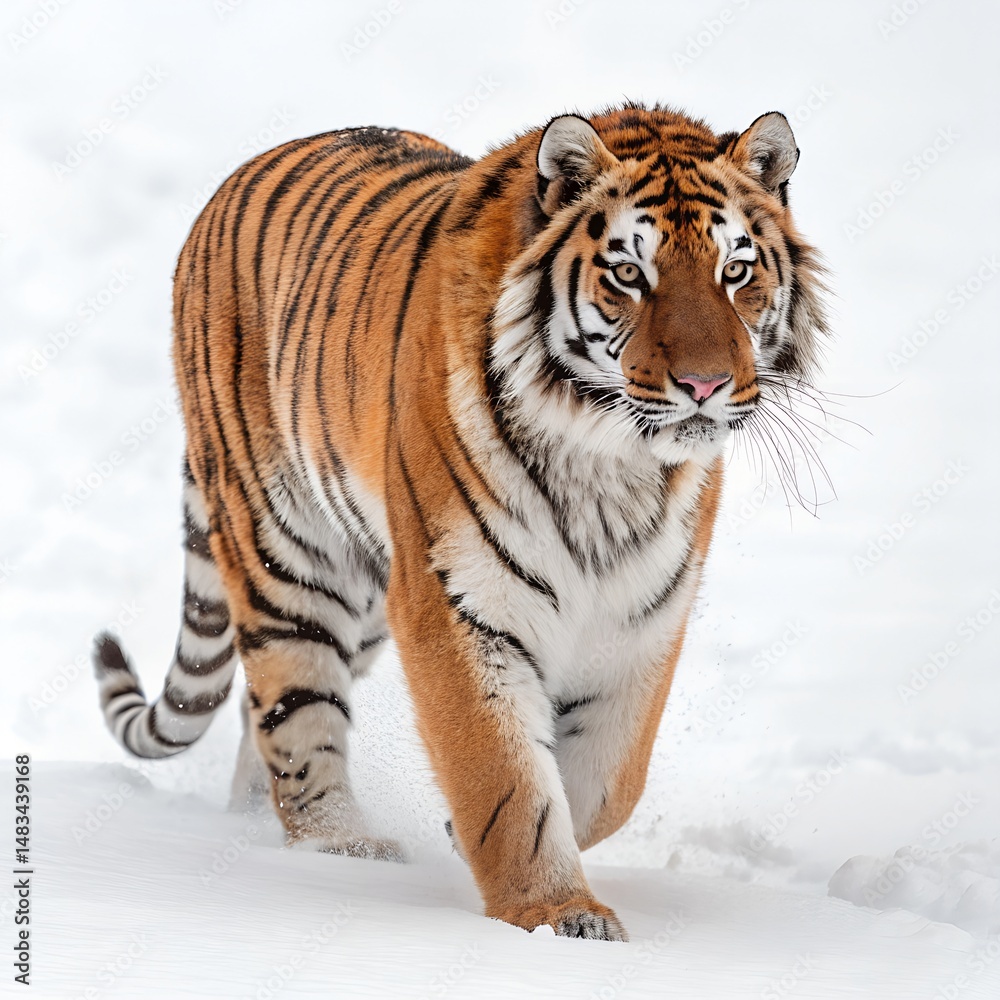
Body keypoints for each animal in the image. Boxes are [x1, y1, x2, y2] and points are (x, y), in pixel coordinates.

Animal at [93, 102, 828, 941]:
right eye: (629, 274)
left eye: (735, 272)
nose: (705, 385)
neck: (611, 461)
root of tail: (233, 182)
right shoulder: (458, 604)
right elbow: (504, 777)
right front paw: (556, 912)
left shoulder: (641, 616)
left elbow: (609, 779)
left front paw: (517, 841)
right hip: (290, 557)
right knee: (295, 710)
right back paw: (339, 849)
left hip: (369, 595)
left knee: (262, 709)